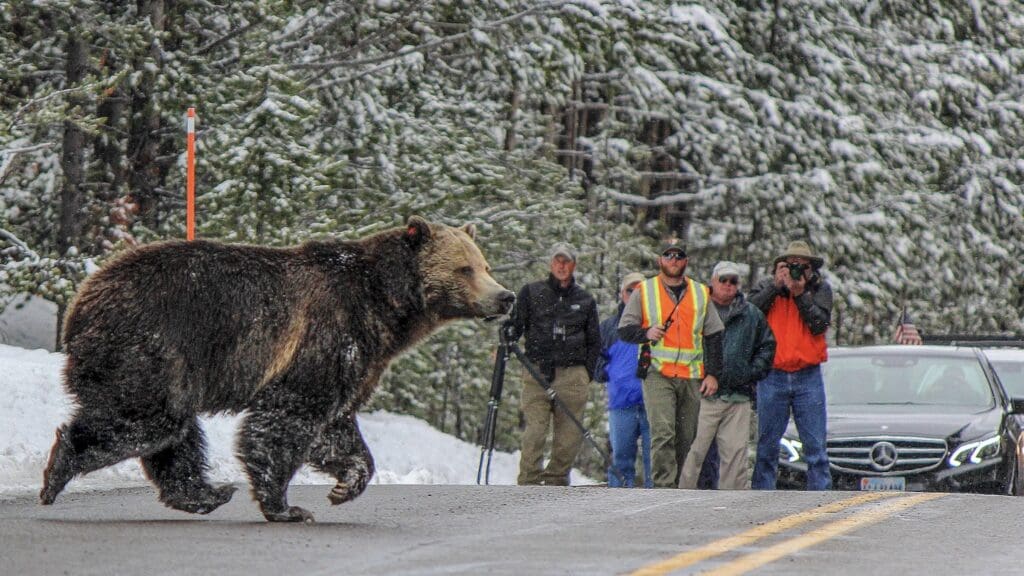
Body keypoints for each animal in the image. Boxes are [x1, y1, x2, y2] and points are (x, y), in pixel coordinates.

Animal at [40, 216, 514, 522]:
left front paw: (345, 484)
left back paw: (206, 492)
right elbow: (288, 419)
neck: (386, 307)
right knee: (147, 421)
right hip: (150, 349)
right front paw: (287, 506)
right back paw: (58, 471)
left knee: (175, 435)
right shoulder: (330, 334)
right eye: (465, 267)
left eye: (485, 264)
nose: (505, 296)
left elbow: (336, 426)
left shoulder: (359, 359)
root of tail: (81, 301)